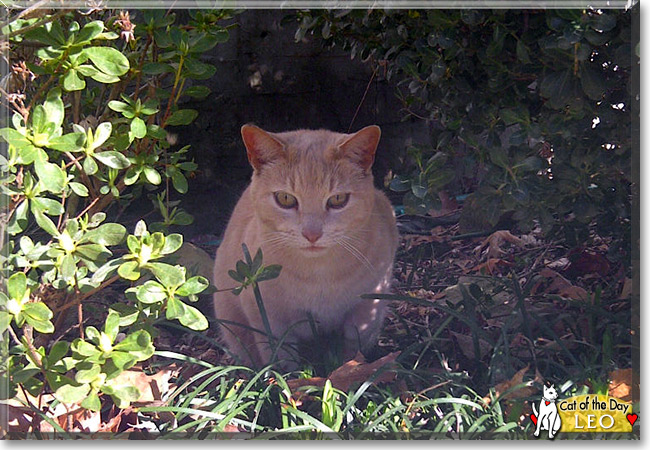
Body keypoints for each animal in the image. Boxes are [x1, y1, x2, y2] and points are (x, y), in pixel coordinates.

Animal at [213, 124, 398, 370]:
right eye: (285, 198)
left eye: (338, 199)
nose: (312, 234)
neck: (318, 276)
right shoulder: (269, 320)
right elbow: (281, 357)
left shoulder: (368, 307)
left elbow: (353, 346)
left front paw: (349, 368)